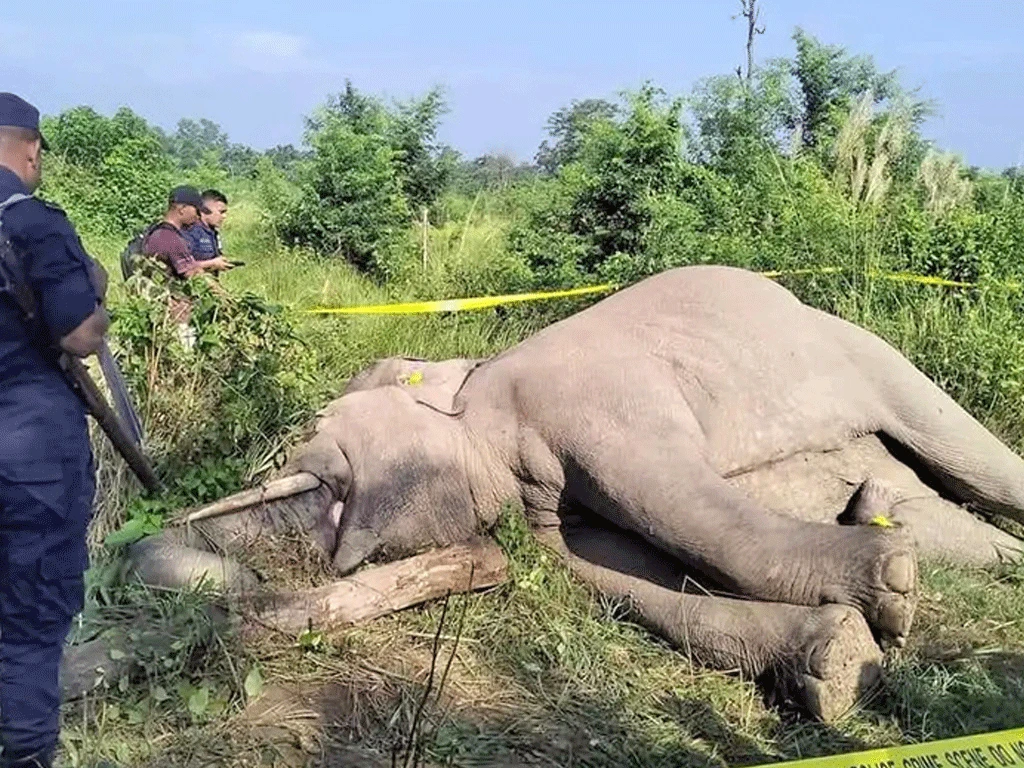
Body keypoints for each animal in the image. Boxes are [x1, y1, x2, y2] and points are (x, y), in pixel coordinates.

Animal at [123, 268, 1024, 724]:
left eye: (320, 433)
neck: (479, 389)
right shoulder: (545, 499)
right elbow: (615, 574)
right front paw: (837, 664)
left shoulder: (597, 402)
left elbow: (677, 508)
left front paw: (892, 599)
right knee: (932, 505)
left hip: (863, 350)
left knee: (964, 450)